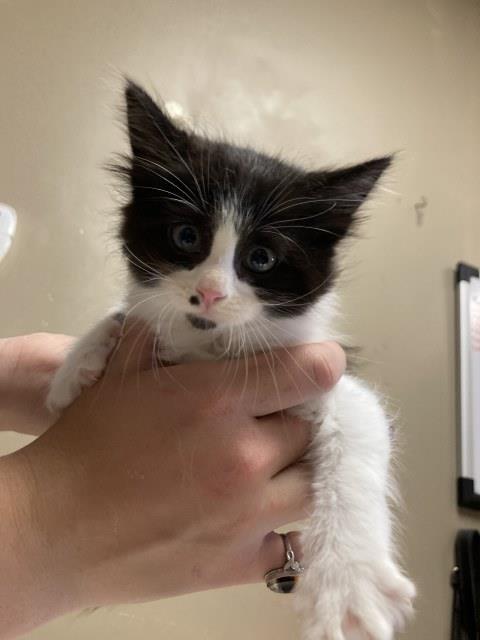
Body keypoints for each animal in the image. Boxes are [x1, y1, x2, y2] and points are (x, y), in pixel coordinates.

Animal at [47, 80, 416, 640]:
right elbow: (130, 315)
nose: (209, 293)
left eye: (260, 258)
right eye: (186, 237)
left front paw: (349, 585)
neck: (212, 351)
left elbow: (358, 423)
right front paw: (77, 364)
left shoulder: (326, 370)